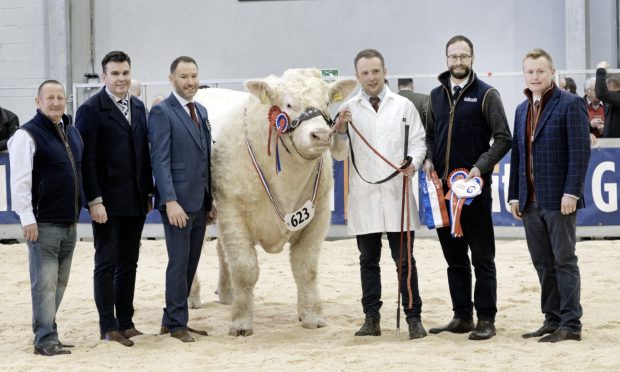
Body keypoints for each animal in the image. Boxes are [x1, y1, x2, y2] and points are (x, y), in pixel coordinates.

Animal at [191, 68, 356, 336]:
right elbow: (245, 269)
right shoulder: (233, 213)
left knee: (221, 250)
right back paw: (193, 297)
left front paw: (311, 317)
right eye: (288, 104)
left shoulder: (319, 215)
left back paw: (227, 295)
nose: (321, 135)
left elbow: (306, 268)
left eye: (327, 102)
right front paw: (241, 323)